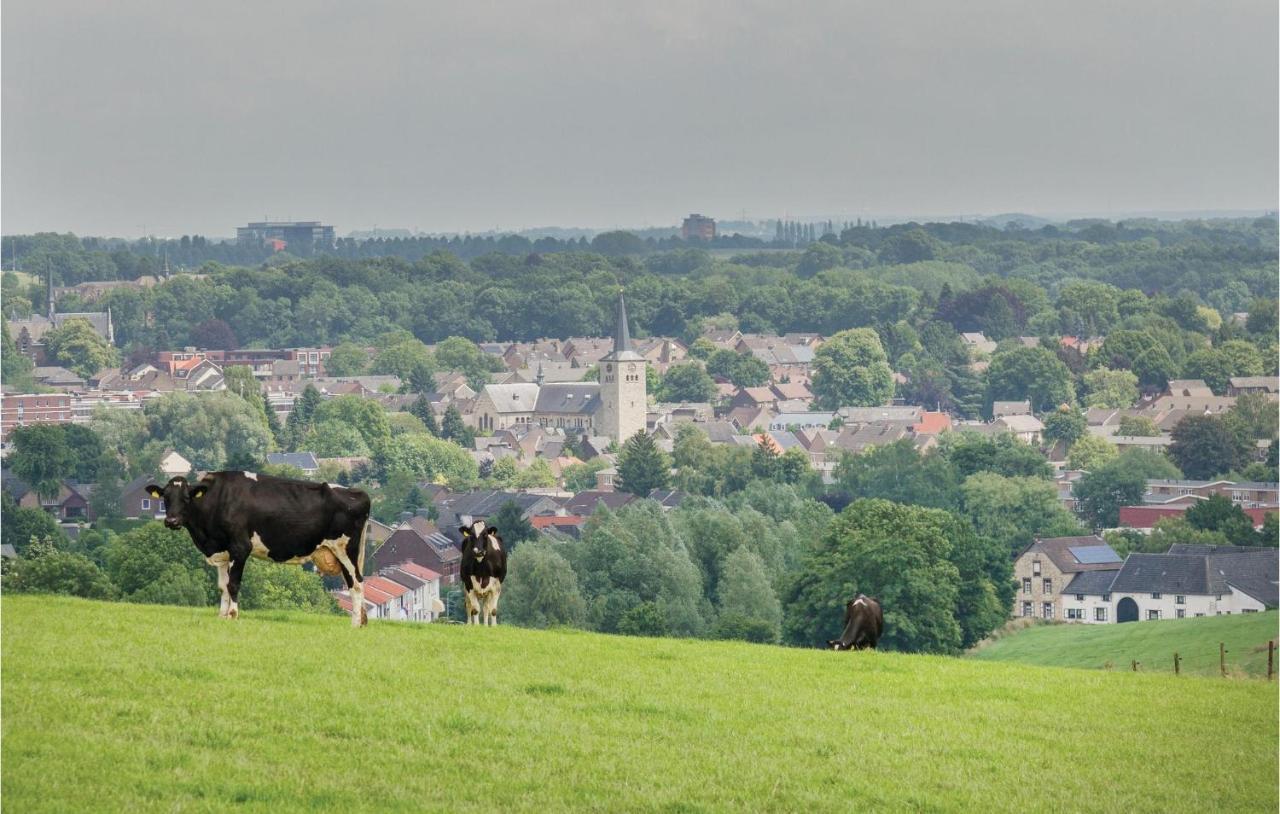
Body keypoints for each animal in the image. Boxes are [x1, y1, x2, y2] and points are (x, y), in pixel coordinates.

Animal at [148, 468, 373, 627]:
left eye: (186, 498)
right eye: (165, 498)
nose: (171, 521)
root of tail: (357, 492)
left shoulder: (240, 547)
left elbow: (233, 584)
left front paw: (233, 615)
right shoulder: (222, 551)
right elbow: (222, 586)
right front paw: (221, 615)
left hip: (345, 549)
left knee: (357, 583)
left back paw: (355, 624)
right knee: (354, 582)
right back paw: (361, 621)